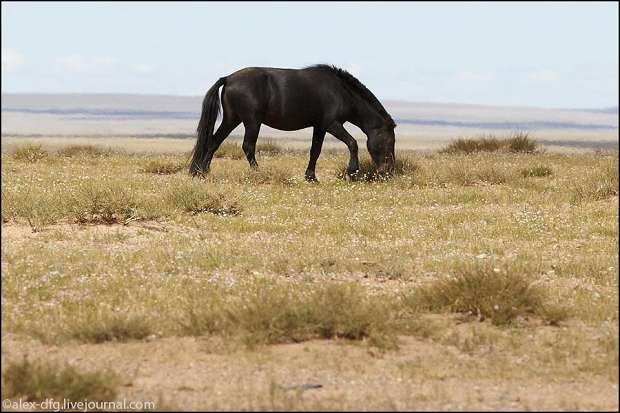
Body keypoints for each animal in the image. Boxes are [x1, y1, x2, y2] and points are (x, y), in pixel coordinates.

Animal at [186, 65, 398, 179]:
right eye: (389, 141)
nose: (388, 171)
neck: (340, 92)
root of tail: (228, 78)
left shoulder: (319, 126)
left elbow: (315, 151)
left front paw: (311, 177)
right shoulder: (332, 124)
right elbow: (352, 143)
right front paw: (351, 172)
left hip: (232, 119)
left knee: (214, 142)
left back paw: (202, 172)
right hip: (252, 122)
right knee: (248, 146)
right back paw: (258, 172)